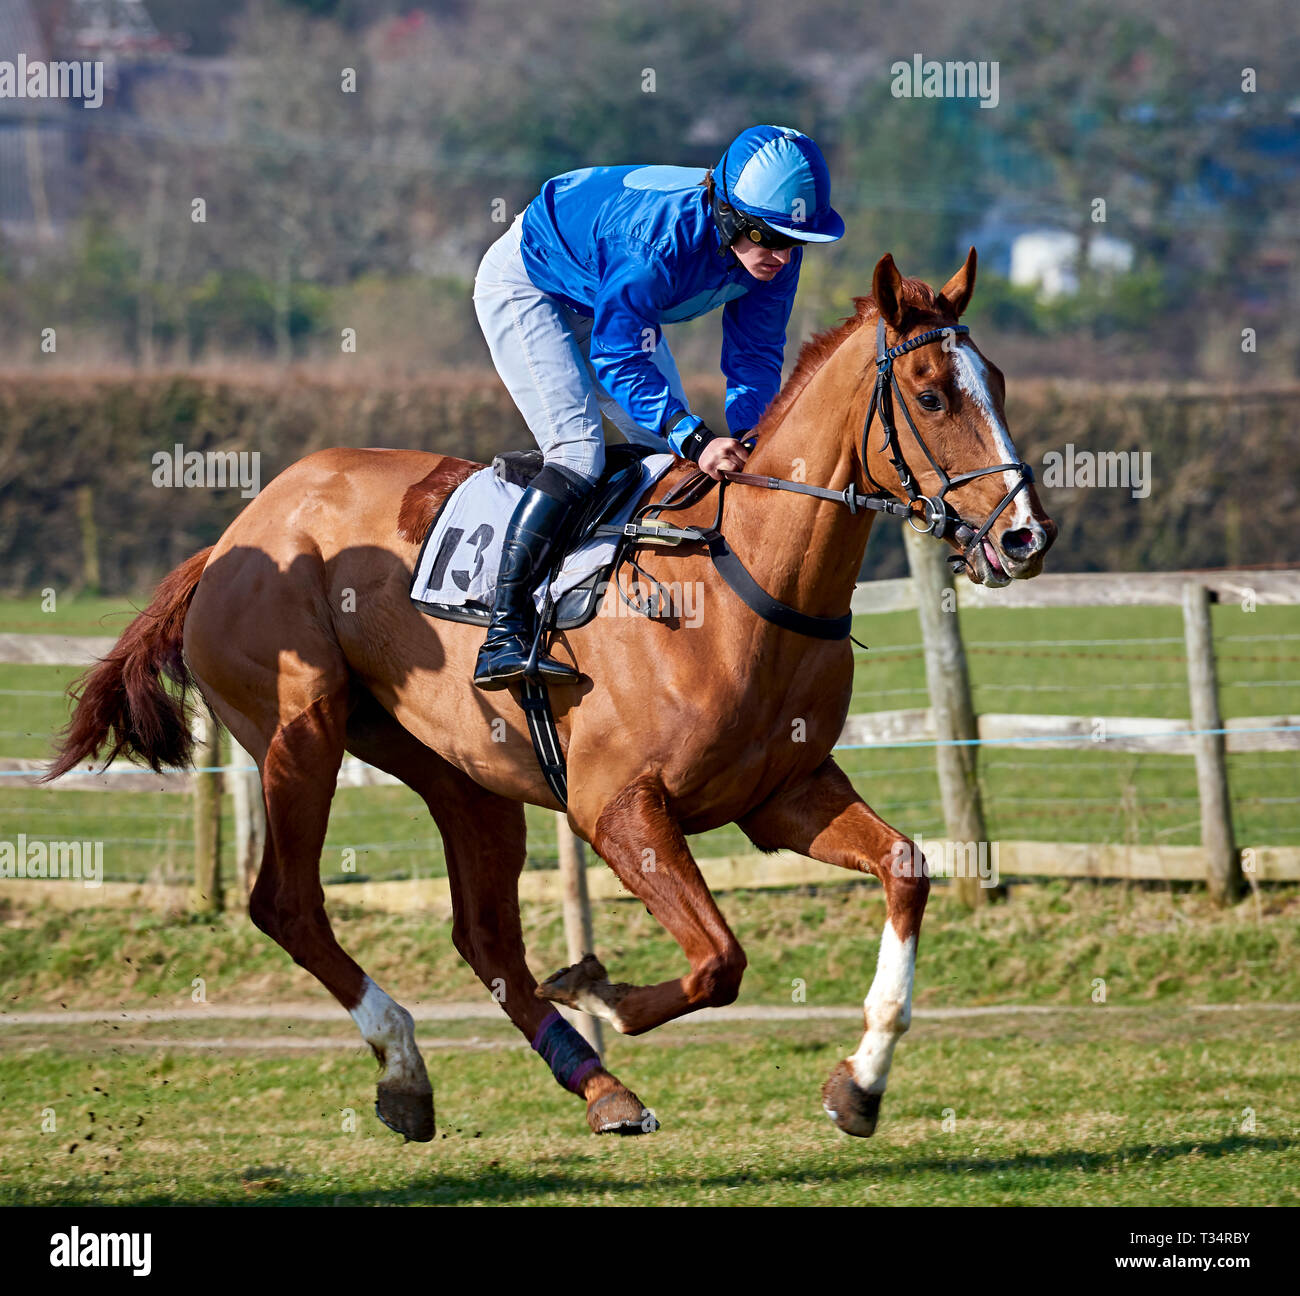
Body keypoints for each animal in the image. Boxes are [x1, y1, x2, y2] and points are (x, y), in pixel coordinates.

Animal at [49, 250, 1055, 1143]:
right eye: (931, 393)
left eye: (1000, 382)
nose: (1025, 537)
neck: (742, 580)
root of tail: (232, 538)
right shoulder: (618, 806)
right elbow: (719, 960)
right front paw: (604, 989)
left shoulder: (783, 796)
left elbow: (907, 869)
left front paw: (862, 1082)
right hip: (303, 735)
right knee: (289, 906)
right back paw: (406, 1067)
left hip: (460, 769)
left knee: (486, 937)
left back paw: (597, 1086)